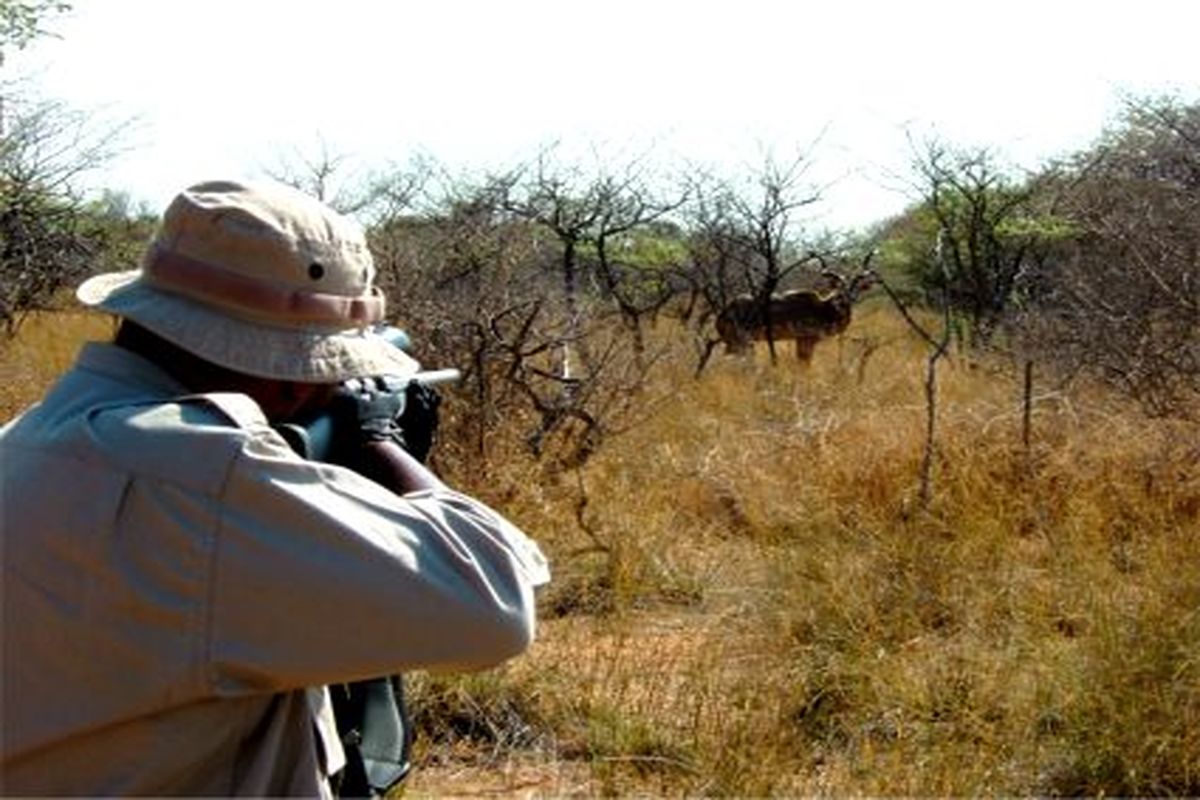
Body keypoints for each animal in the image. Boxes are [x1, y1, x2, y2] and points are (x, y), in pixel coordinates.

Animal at [710, 272, 883, 367]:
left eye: (857, 288)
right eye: (840, 288)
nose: (848, 299)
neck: (823, 309)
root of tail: (724, 312)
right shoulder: (805, 340)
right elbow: (804, 365)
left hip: (735, 344)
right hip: (741, 343)